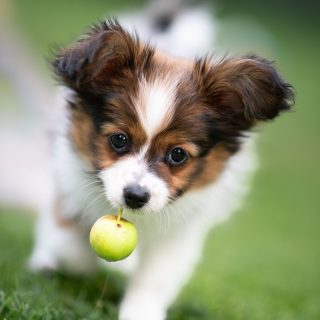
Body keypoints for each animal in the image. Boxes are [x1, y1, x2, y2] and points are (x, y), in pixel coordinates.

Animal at [1, 0, 292, 320]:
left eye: (177, 154)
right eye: (119, 140)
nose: (136, 196)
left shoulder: (178, 234)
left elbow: (155, 278)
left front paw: (141, 311)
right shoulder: (69, 184)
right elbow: (70, 246)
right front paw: (79, 261)